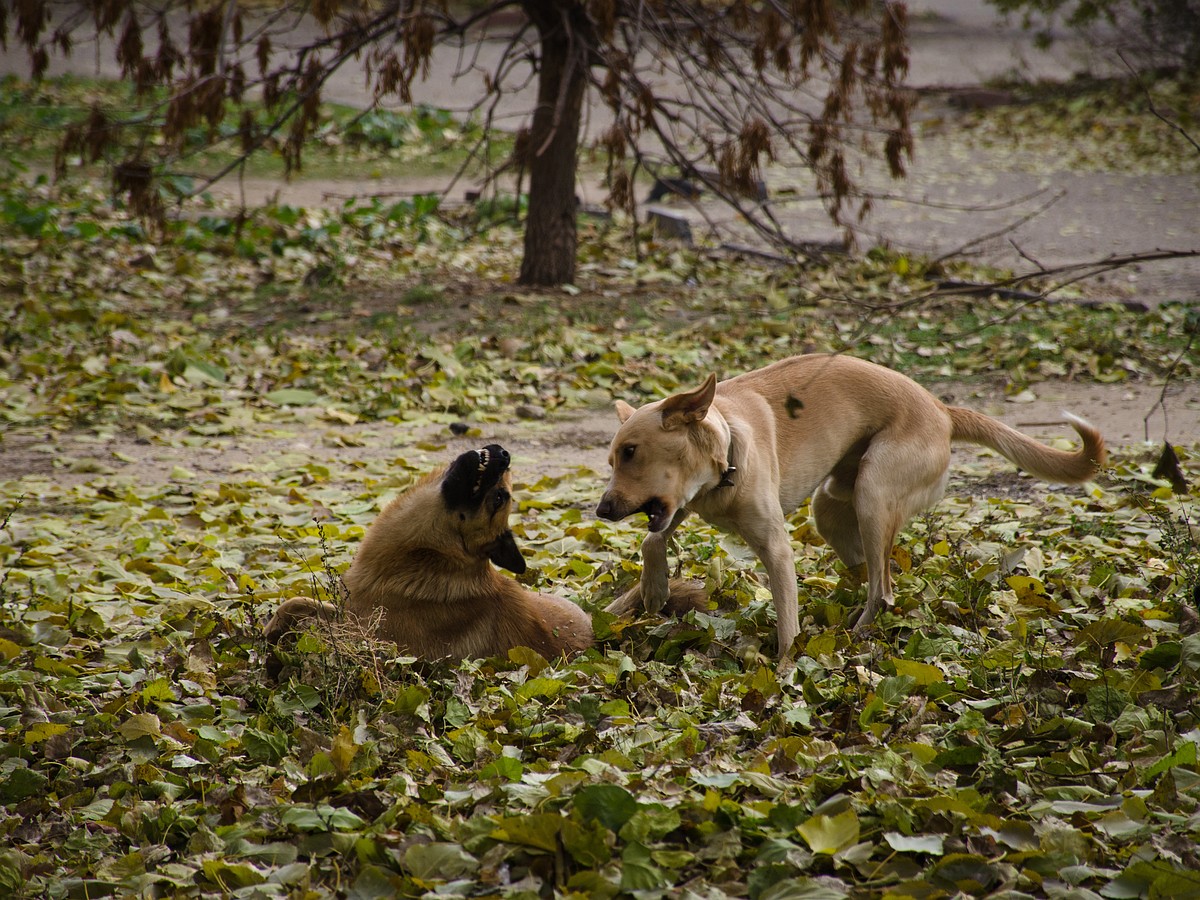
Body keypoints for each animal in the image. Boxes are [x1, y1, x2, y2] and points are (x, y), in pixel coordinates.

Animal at [267, 446, 595, 662]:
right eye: (503, 490)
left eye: (500, 498)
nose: (505, 455)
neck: (429, 556)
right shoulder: (351, 608)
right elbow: (297, 601)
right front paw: (270, 629)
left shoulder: (372, 636)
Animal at [595, 355, 1108, 657]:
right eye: (613, 458)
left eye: (631, 452)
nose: (601, 511)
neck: (727, 444)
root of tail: (943, 411)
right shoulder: (680, 505)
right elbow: (652, 539)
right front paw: (654, 589)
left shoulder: (775, 547)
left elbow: (787, 627)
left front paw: (785, 673)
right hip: (833, 509)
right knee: (875, 574)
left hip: (873, 493)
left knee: (882, 589)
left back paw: (857, 633)